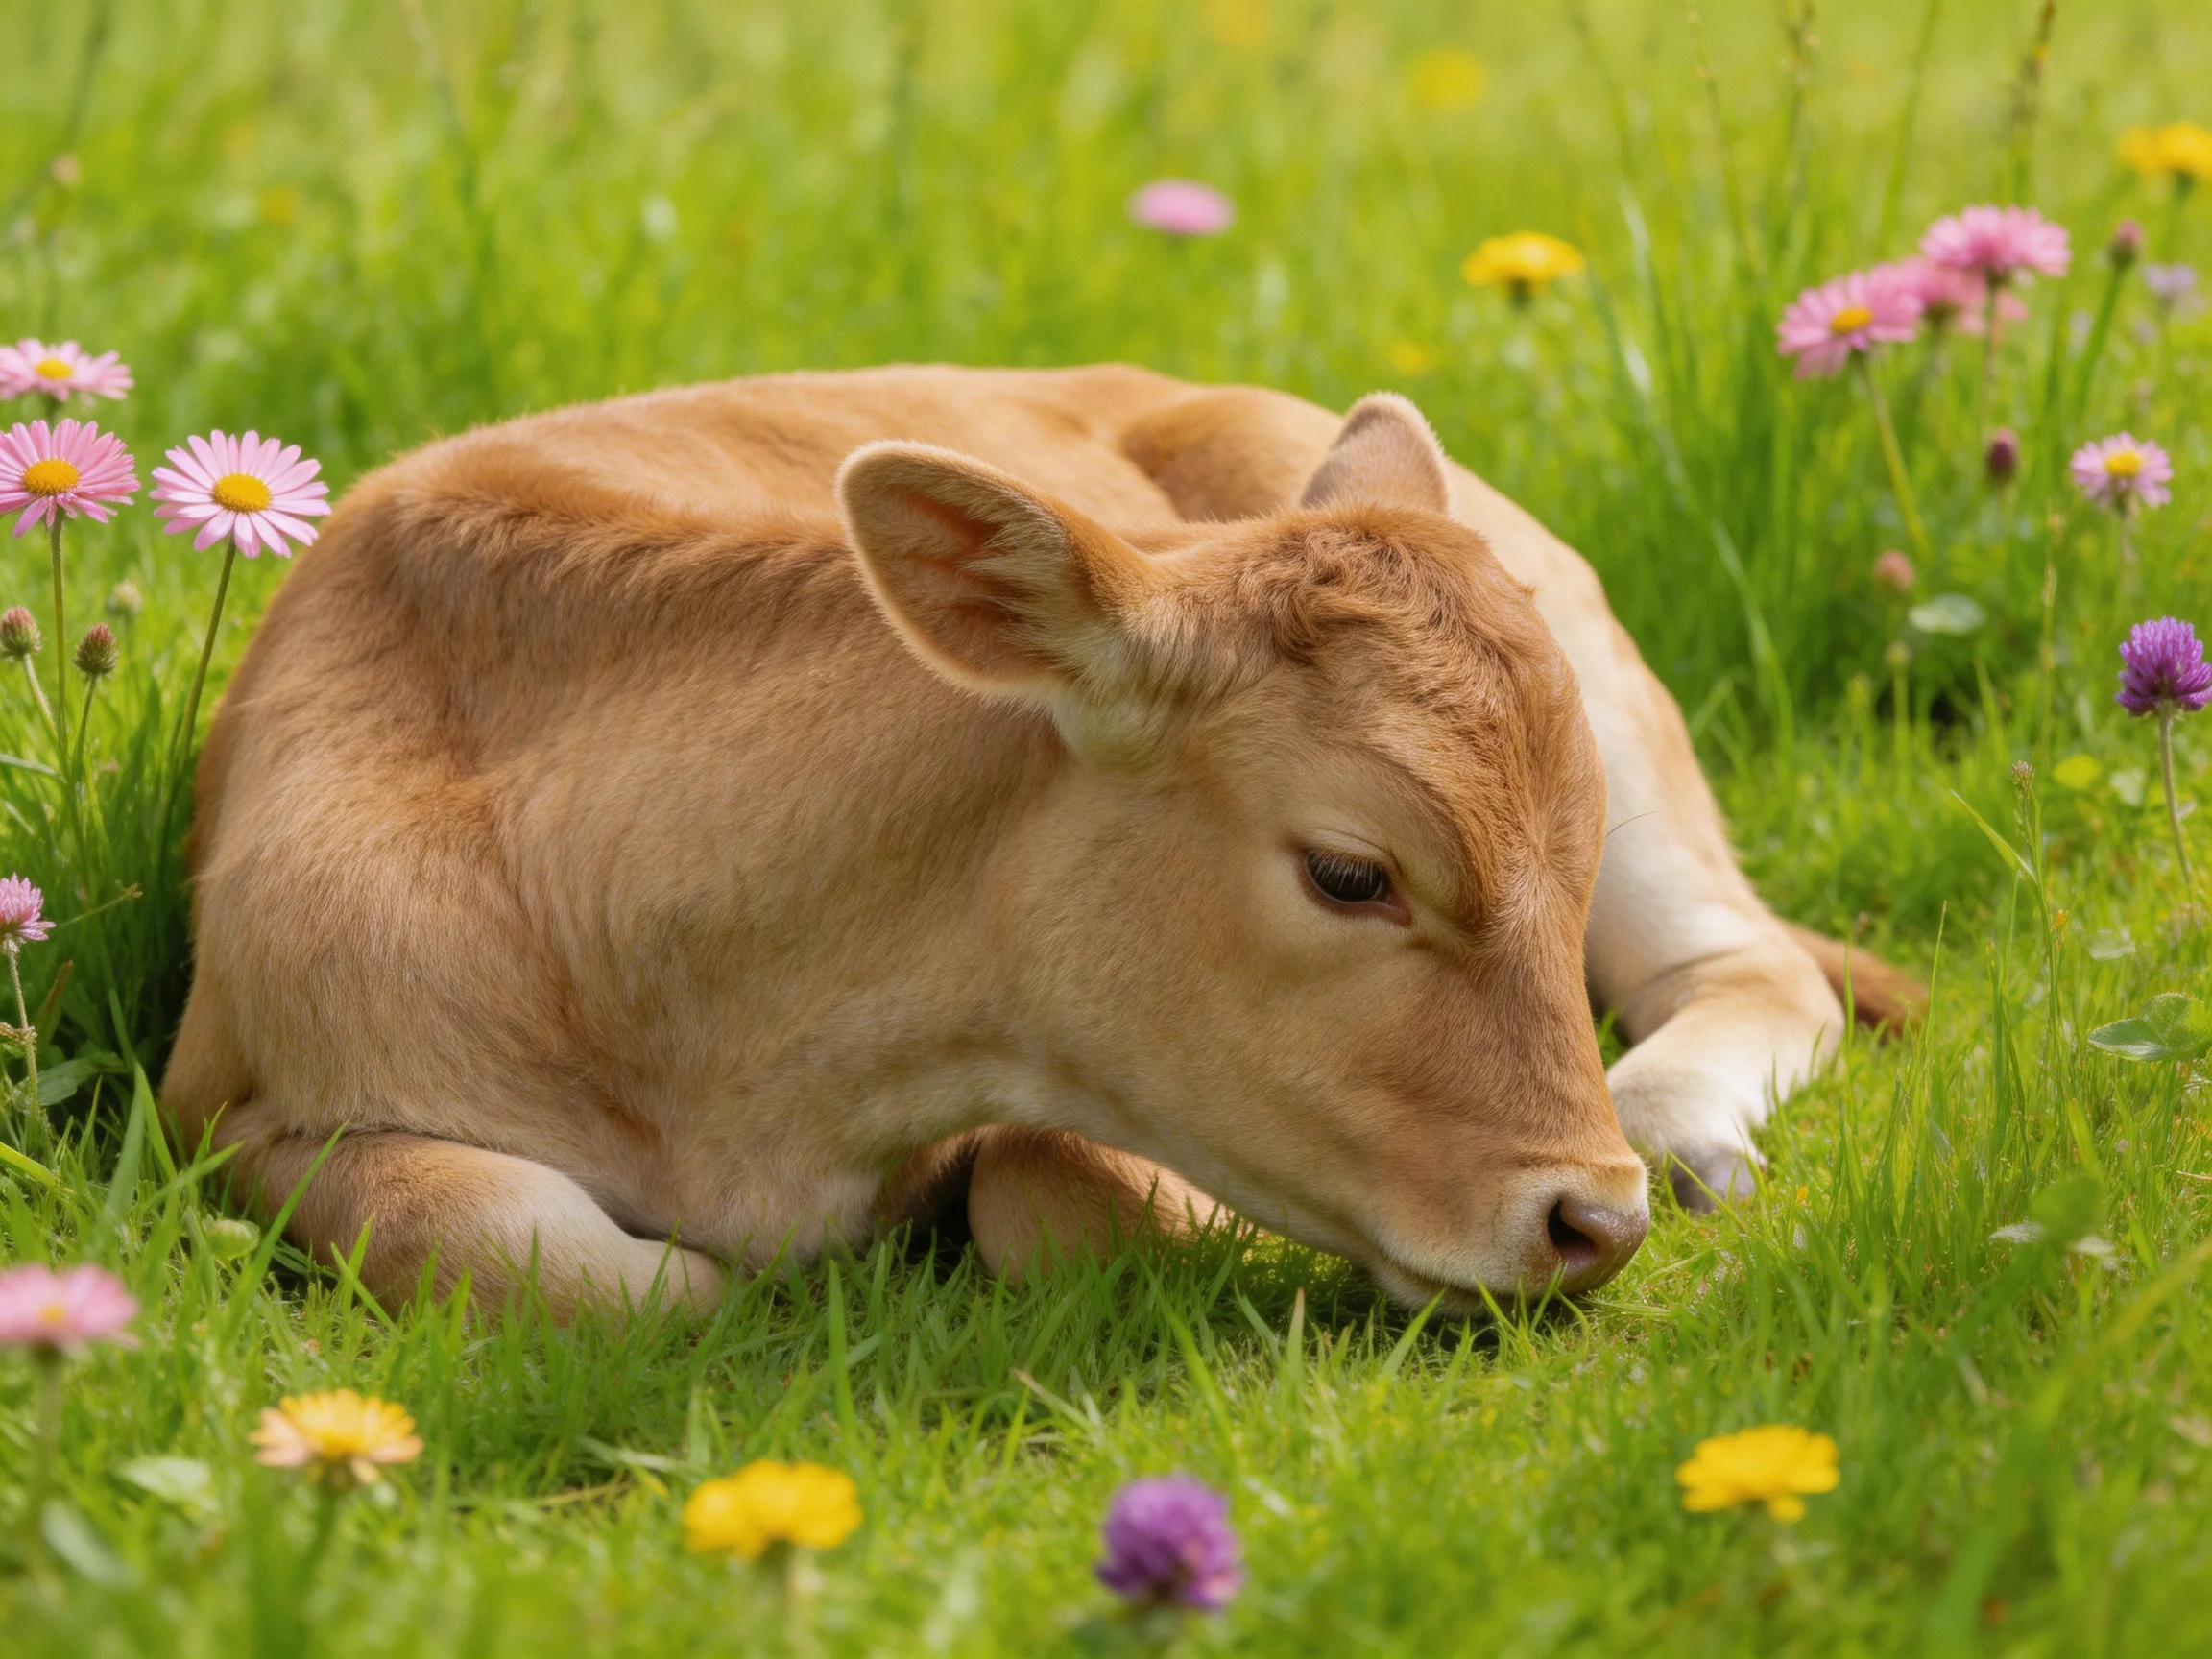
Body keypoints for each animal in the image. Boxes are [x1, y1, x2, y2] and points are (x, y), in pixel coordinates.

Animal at [162, 364, 1912, 1318]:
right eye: (1349, 872)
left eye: (1568, 848)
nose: (1590, 1221)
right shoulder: (233, 1105)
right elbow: (551, 1260)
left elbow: (1040, 1178)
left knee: (1754, 961)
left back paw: (1674, 1121)